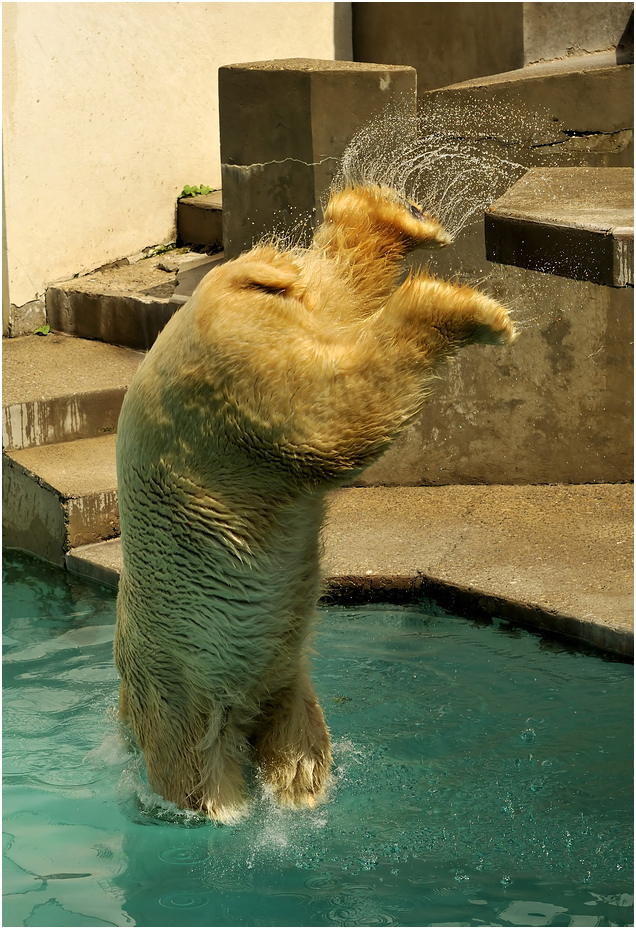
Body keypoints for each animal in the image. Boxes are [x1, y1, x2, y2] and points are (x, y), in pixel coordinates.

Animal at [114, 183, 516, 824]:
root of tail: (223, 280)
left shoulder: (184, 707)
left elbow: (198, 782)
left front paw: (223, 816)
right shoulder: (271, 684)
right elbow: (295, 746)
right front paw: (299, 792)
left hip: (229, 406)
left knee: (330, 414)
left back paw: (464, 309)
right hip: (258, 347)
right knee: (333, 294)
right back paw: (392, 216)